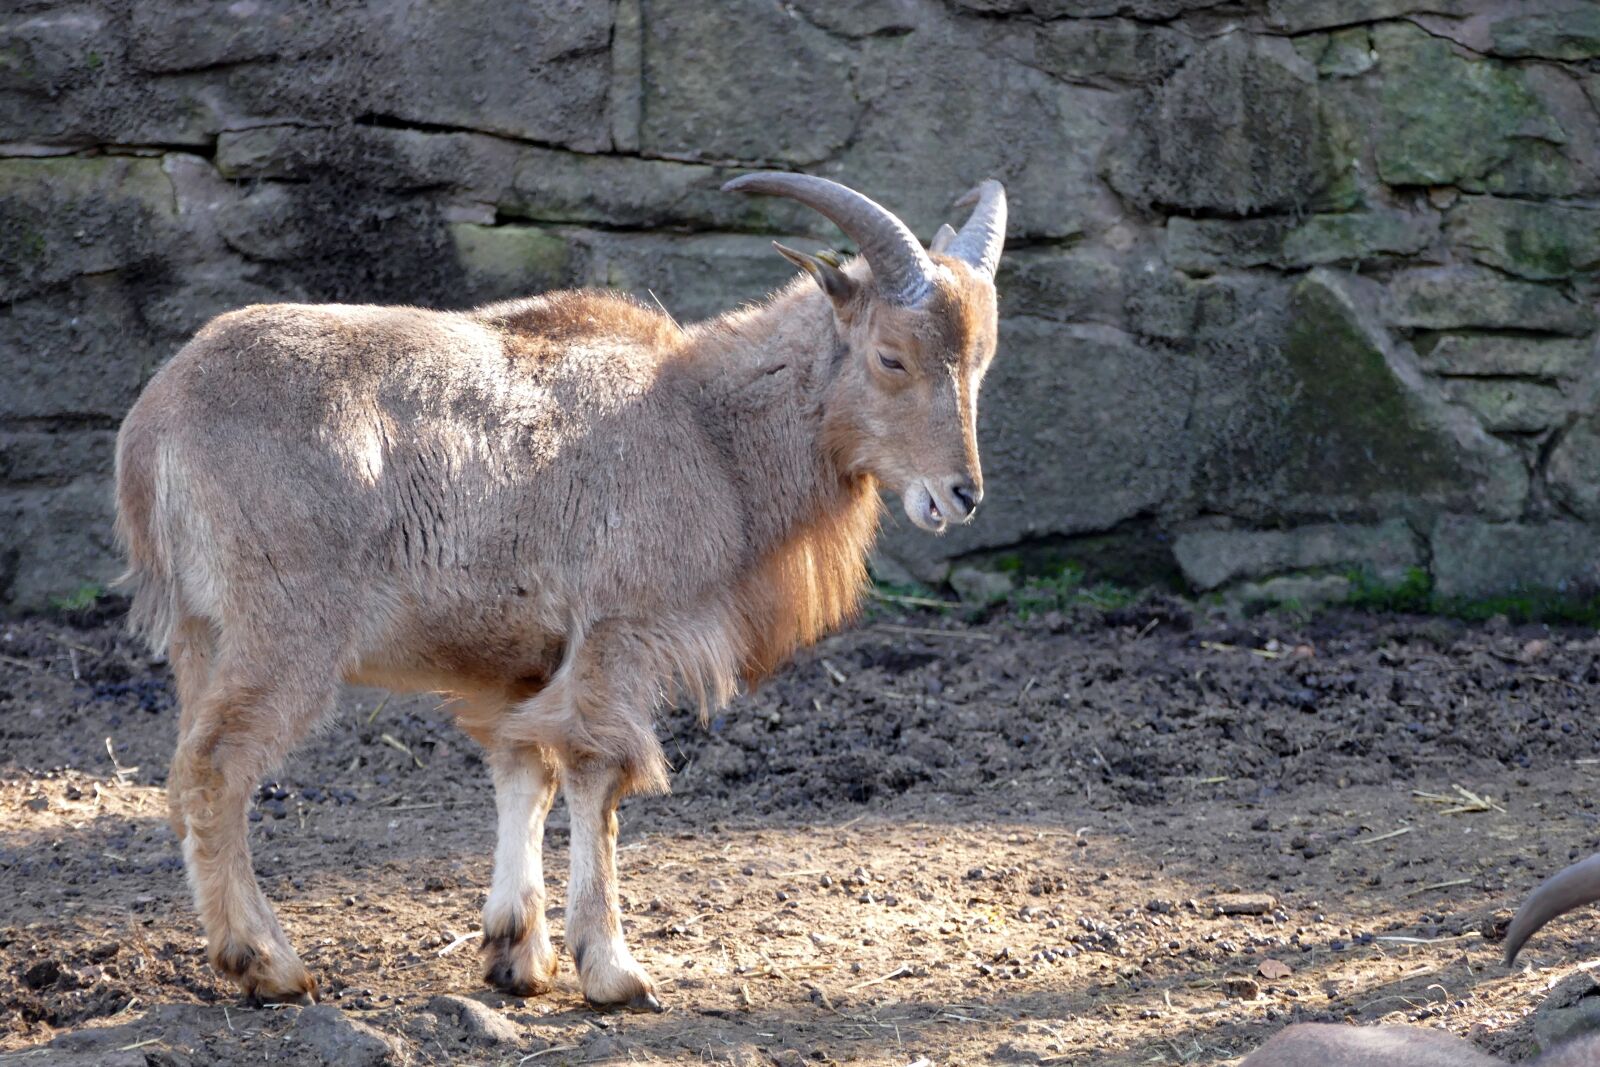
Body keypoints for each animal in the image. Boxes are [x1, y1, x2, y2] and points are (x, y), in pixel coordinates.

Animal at [113, 172, 1007, 1009]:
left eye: (979, 361)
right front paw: (613, 969)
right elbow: (596, 770)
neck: (706, 426)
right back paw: (267, 962)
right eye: (891, 355)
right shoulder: (619, 629)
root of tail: (152, 426)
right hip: (283, 630)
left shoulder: (522, 661)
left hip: (202, 634)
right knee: (215, 769)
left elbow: (525, 772)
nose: (961, 494)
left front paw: (518, 954)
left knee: (190, 773)